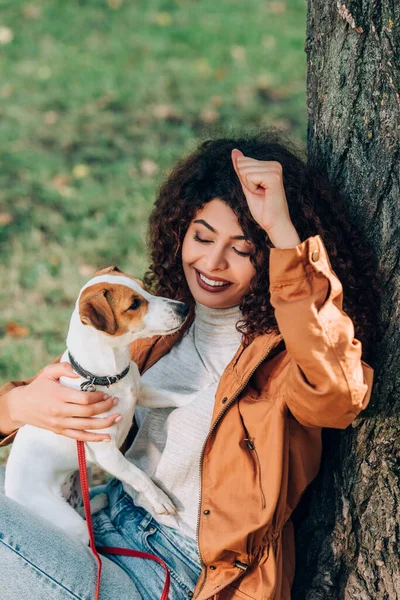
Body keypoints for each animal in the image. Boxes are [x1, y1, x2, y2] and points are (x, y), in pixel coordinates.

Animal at [4, 266, 192, 544]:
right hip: (66, 518)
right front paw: (159, 499)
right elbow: (138, 475)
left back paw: (99, 501)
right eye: (134, 304)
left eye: (144, 287)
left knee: (82, 506)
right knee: (84, 529)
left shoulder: (142, 393)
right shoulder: (106, 453)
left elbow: (174, 396)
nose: (184, 307)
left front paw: (205, 394)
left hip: (83, 473)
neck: (106, 375)